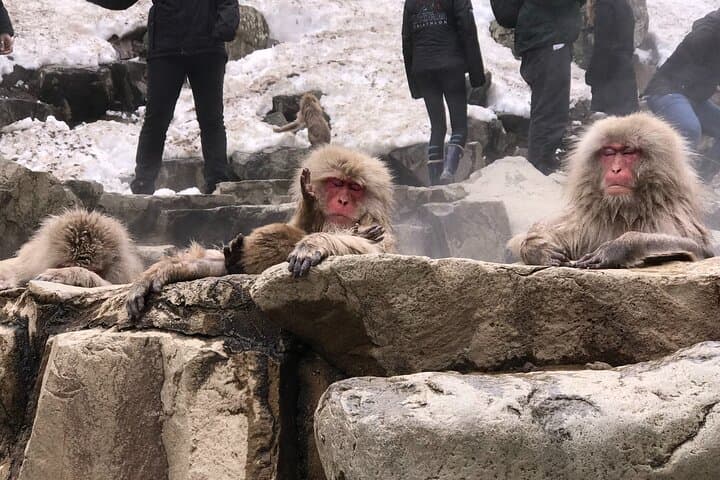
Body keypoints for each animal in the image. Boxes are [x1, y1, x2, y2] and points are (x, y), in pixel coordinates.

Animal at [126, 145, 395, 318]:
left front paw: (313, 244)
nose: (343, 201)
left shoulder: (377, 225)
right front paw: (163, 270)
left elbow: (373, 251)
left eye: (355, 188)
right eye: (337, 184)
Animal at [508, 112, 714, 268]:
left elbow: (698, 248)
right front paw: (537, 247)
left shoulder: (670, 216)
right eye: (609, 153)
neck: (624, 211)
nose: (615, 170)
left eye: (628, 152)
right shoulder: (586, 220)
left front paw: (620, 247)